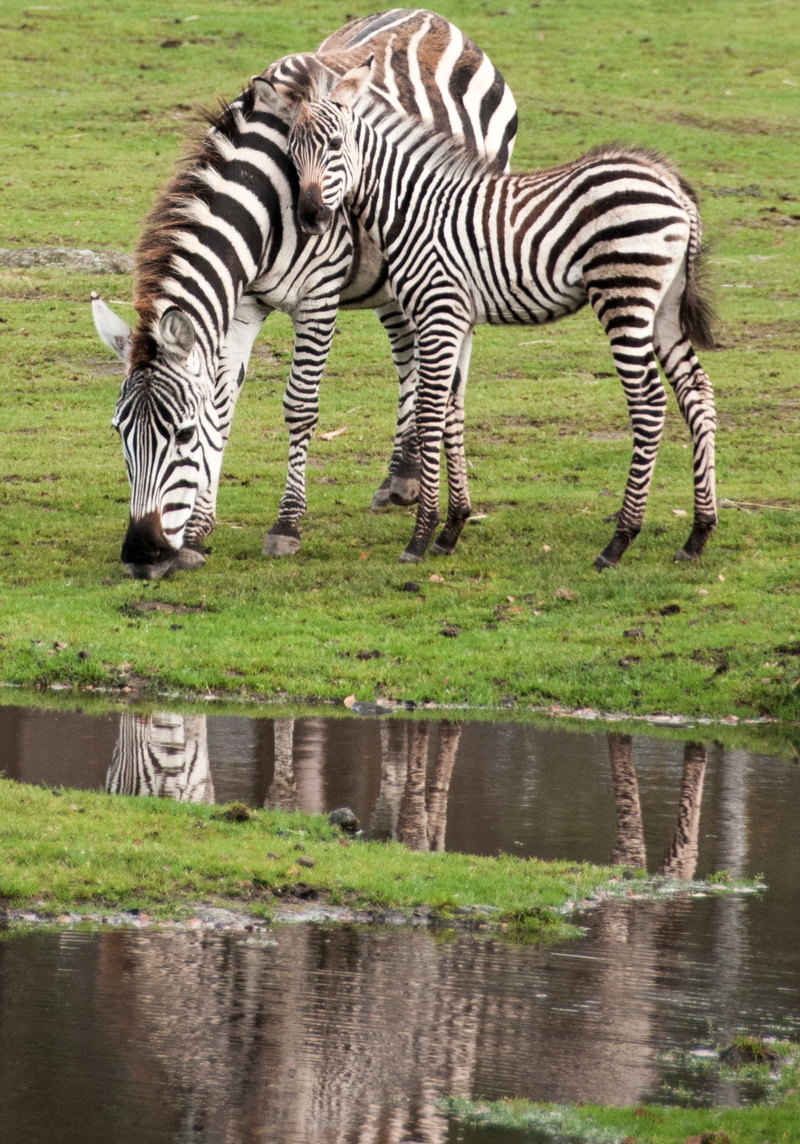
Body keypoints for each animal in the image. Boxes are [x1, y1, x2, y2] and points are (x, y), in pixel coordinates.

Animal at [91, 10, 518, 579]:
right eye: (119, 432)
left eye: (180, 435)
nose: (141, 556)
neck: (265, 199)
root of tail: (431, 17)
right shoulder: (243, 303)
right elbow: (222, 406)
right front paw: (199, 532)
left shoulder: (317, 297)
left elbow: (300, 405)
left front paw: (286, 525)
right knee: (409, 355)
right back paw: (401, 478)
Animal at [270, 60, 718, 568]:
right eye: (291, 153)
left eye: (334, 145)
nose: (309, 217)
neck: (412, 208)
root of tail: (669, 182)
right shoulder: (459, 318)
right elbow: (453, 410)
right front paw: (452, 528)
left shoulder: (438, 311)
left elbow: (429, 410)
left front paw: (420, 536)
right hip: (664, 305)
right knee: (696, 390)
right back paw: (698, 534)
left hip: (623, 294)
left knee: (649, 402)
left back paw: (619, 540)